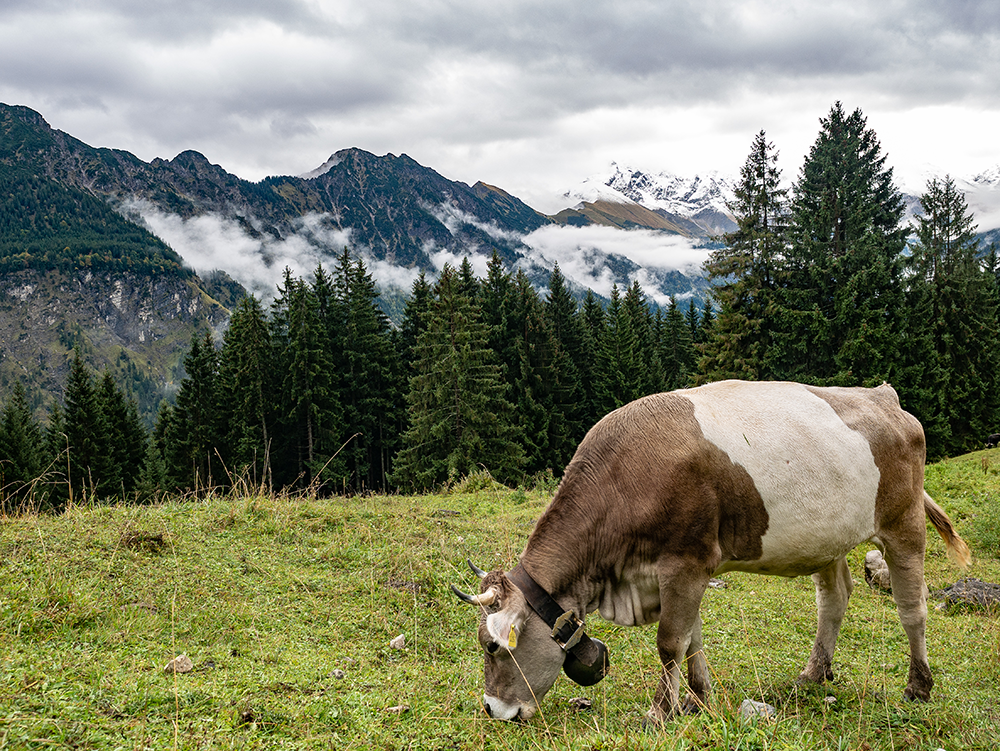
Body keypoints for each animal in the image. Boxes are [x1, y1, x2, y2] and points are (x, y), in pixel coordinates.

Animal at [454, 382, 968, 724]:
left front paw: (659, 713)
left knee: (912, 607)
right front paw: (697, 699)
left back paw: (919, 685)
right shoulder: (683, 571)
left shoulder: (686, 562)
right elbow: (692, 638)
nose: (493, 708)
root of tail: (884, 396)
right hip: (829, 539)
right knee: (835, 599)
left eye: (493, 646)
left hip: (903, 525)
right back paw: (811, 675)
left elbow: (669, 641)